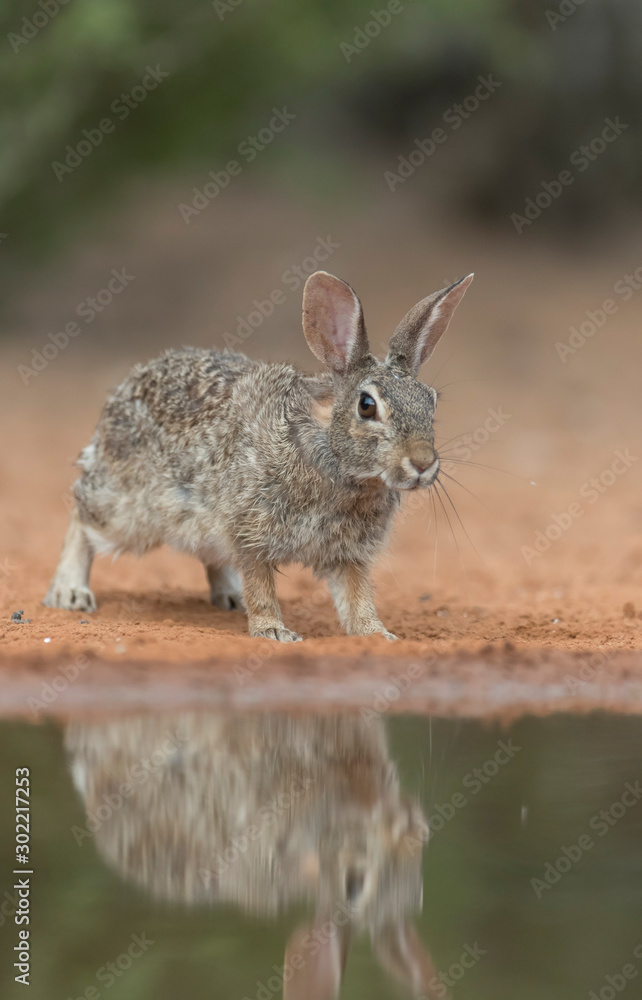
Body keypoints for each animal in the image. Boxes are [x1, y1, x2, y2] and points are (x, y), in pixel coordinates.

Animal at [44, 270, 473, 641]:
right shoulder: (250, 529)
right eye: (367, 406)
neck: (330, 460)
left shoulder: (349, 553)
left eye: (432, 402)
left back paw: (230, 598)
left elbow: (356, 597)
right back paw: (70, 593)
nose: (423, 463)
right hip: (130, 511)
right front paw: (274, 632)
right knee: (82, 515)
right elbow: (261, 583)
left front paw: (377, 635)